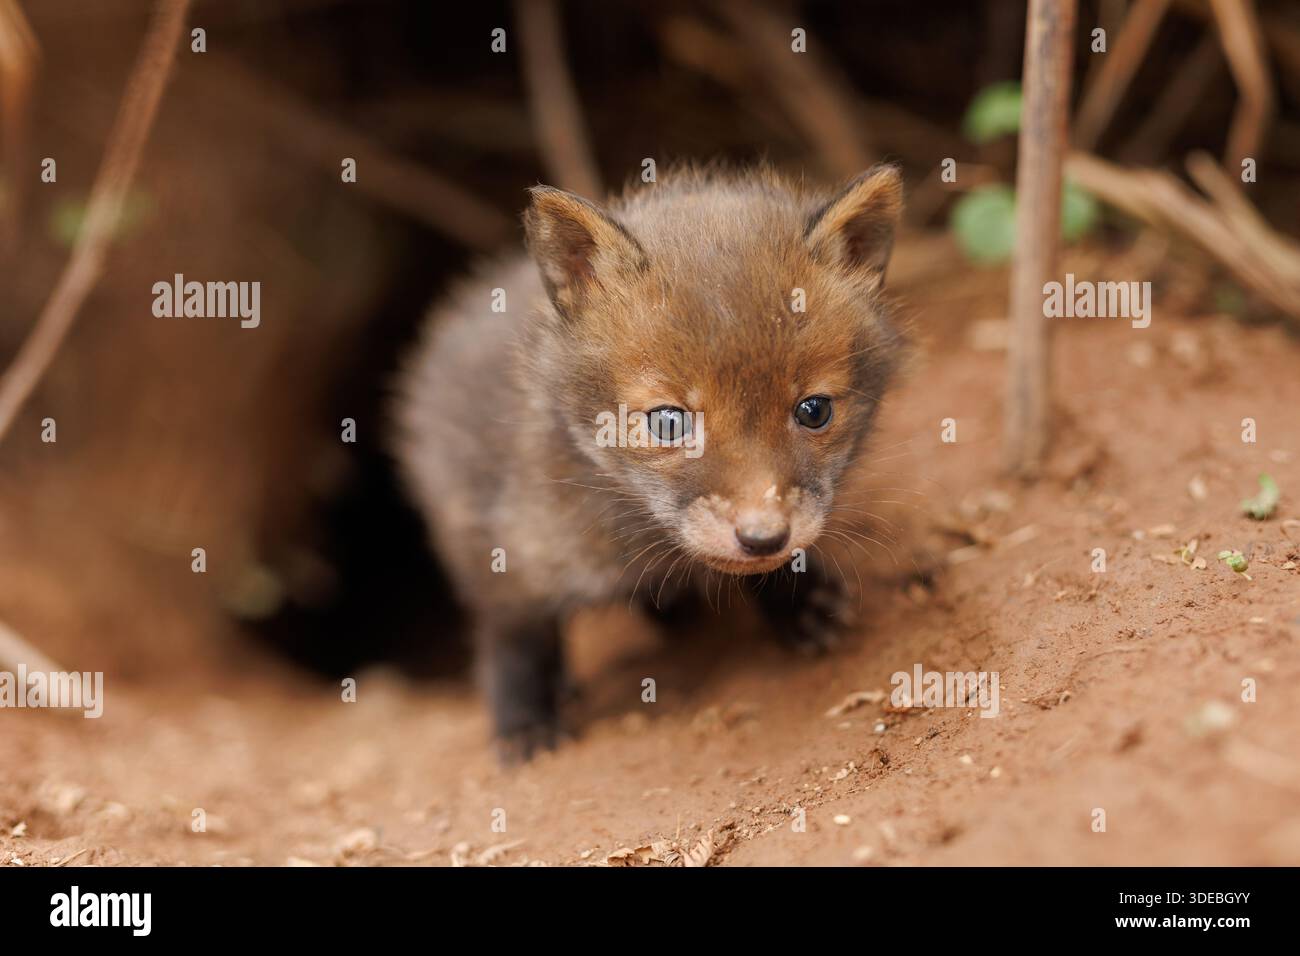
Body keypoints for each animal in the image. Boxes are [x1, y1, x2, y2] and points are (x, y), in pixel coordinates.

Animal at [391, 163, 906, 761]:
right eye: (668, 422)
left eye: (814, 410)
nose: (763, 537)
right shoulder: (501, 546)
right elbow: (513, 638)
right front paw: (524, 720)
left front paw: (799, 602)